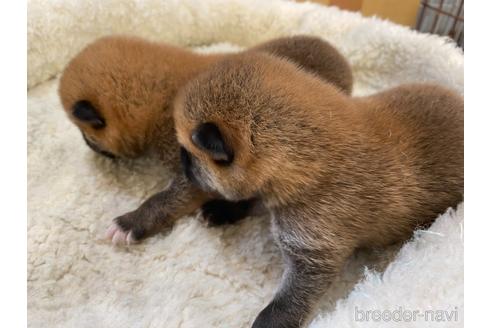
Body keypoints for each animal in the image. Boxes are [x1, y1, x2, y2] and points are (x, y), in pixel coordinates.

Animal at [57, 34, 352, 243]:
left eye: (84, 132)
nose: (88, 147)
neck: (158, 96)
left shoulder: (199, 168)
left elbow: (164, 198)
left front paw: (131, 222)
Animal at [175, 52, 464, 326]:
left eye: (189, 154)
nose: (181, 165)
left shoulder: (312, 254)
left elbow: (283, 305)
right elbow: (251, 199)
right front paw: (221, 209)